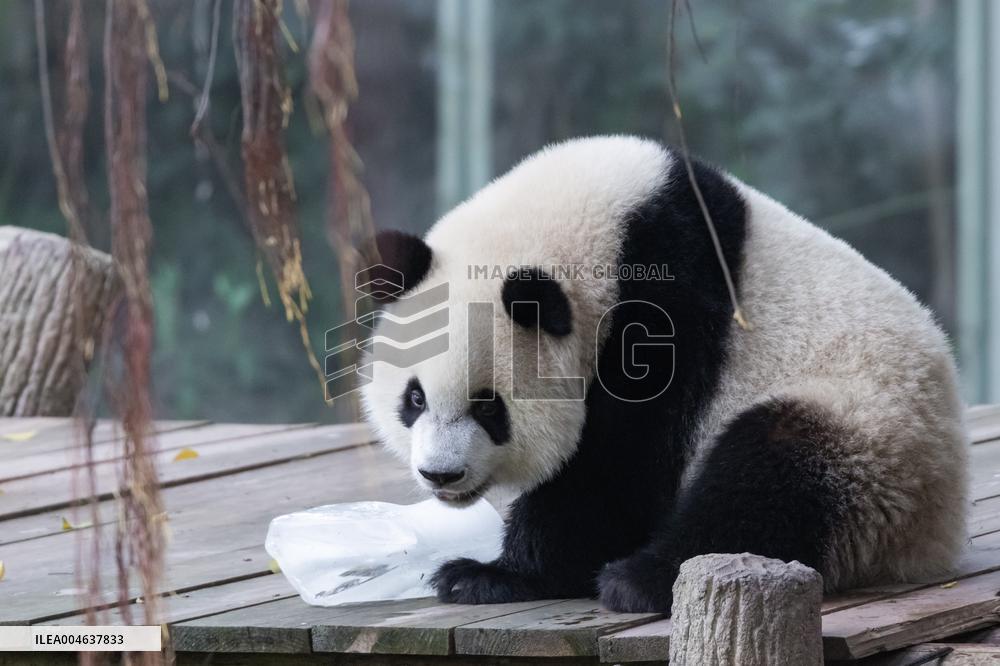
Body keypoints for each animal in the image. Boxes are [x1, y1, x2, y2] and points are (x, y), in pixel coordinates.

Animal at [359, 135, 968, 613]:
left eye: (490, 406)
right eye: (414, 399)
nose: (441, 475)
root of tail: (934, 539)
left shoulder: (666, 309)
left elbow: (616, 465)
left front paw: (492, 574)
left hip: (868, 433)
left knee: (770, 478)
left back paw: (642, 580)